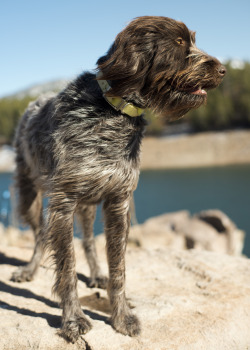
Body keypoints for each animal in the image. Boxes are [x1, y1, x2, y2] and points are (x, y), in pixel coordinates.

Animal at [10, 15, 226, 342]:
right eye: (178, 43)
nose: (223, 70)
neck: (113, 113)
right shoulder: (63, 202)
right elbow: (67, 267)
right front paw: (73, 319)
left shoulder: (118, 201)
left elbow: (118, 268)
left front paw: (121, 316)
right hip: (30, 194)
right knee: (39, 235)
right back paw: (29, 270)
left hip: (87, 204)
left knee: (88, 241)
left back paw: (96, 273)